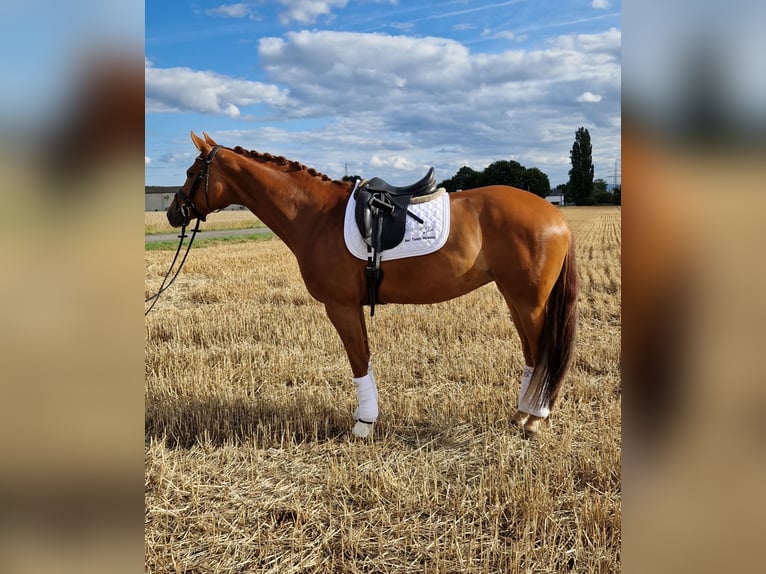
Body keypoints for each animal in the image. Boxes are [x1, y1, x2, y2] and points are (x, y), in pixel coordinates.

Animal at [168, 133, 576, 438]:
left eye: (191, 171)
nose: (174, 213)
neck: (317, 215)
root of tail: (555, 214)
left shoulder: (341, 306)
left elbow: (358, 360)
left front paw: (364, 424)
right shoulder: (352, 306)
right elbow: (363, 356)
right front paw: (368, 418)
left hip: (530, 302)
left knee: (545, 354)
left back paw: (535, 418)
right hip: (515, 298)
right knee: (533, 355)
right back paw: (522, 414)